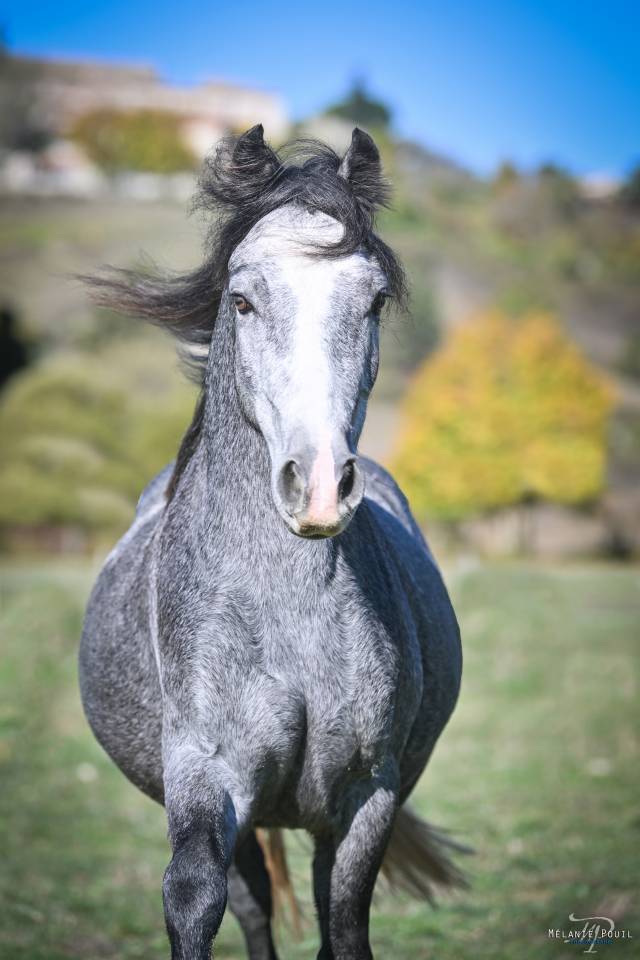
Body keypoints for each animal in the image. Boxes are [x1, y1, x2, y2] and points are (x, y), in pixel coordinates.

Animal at [79, 125, 464, 960]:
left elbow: (343, 924)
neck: (285, 616)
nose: (317, 486)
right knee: (253, 906)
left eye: (373, 299)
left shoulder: (365, 795)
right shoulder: (207, 775)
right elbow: (196, 898)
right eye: (243, 299)